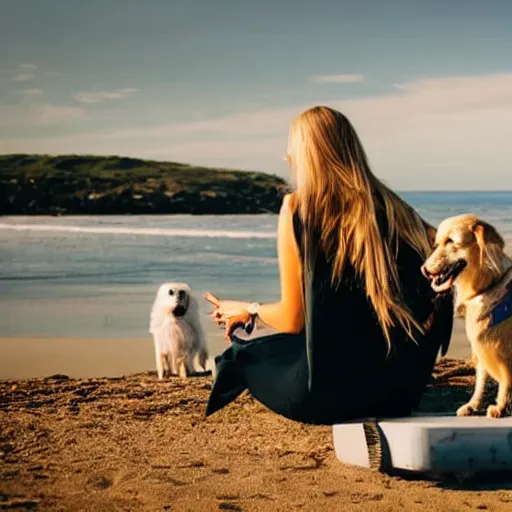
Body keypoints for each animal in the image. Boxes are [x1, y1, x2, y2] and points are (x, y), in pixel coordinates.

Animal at [422, 214, 512, 418]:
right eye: (437, 243)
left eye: (451, 241)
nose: (424, 269)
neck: (487, 285)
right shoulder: (481, 344)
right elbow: (481, 380)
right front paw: (473, 405)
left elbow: (506, 379)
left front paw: (501, 407)